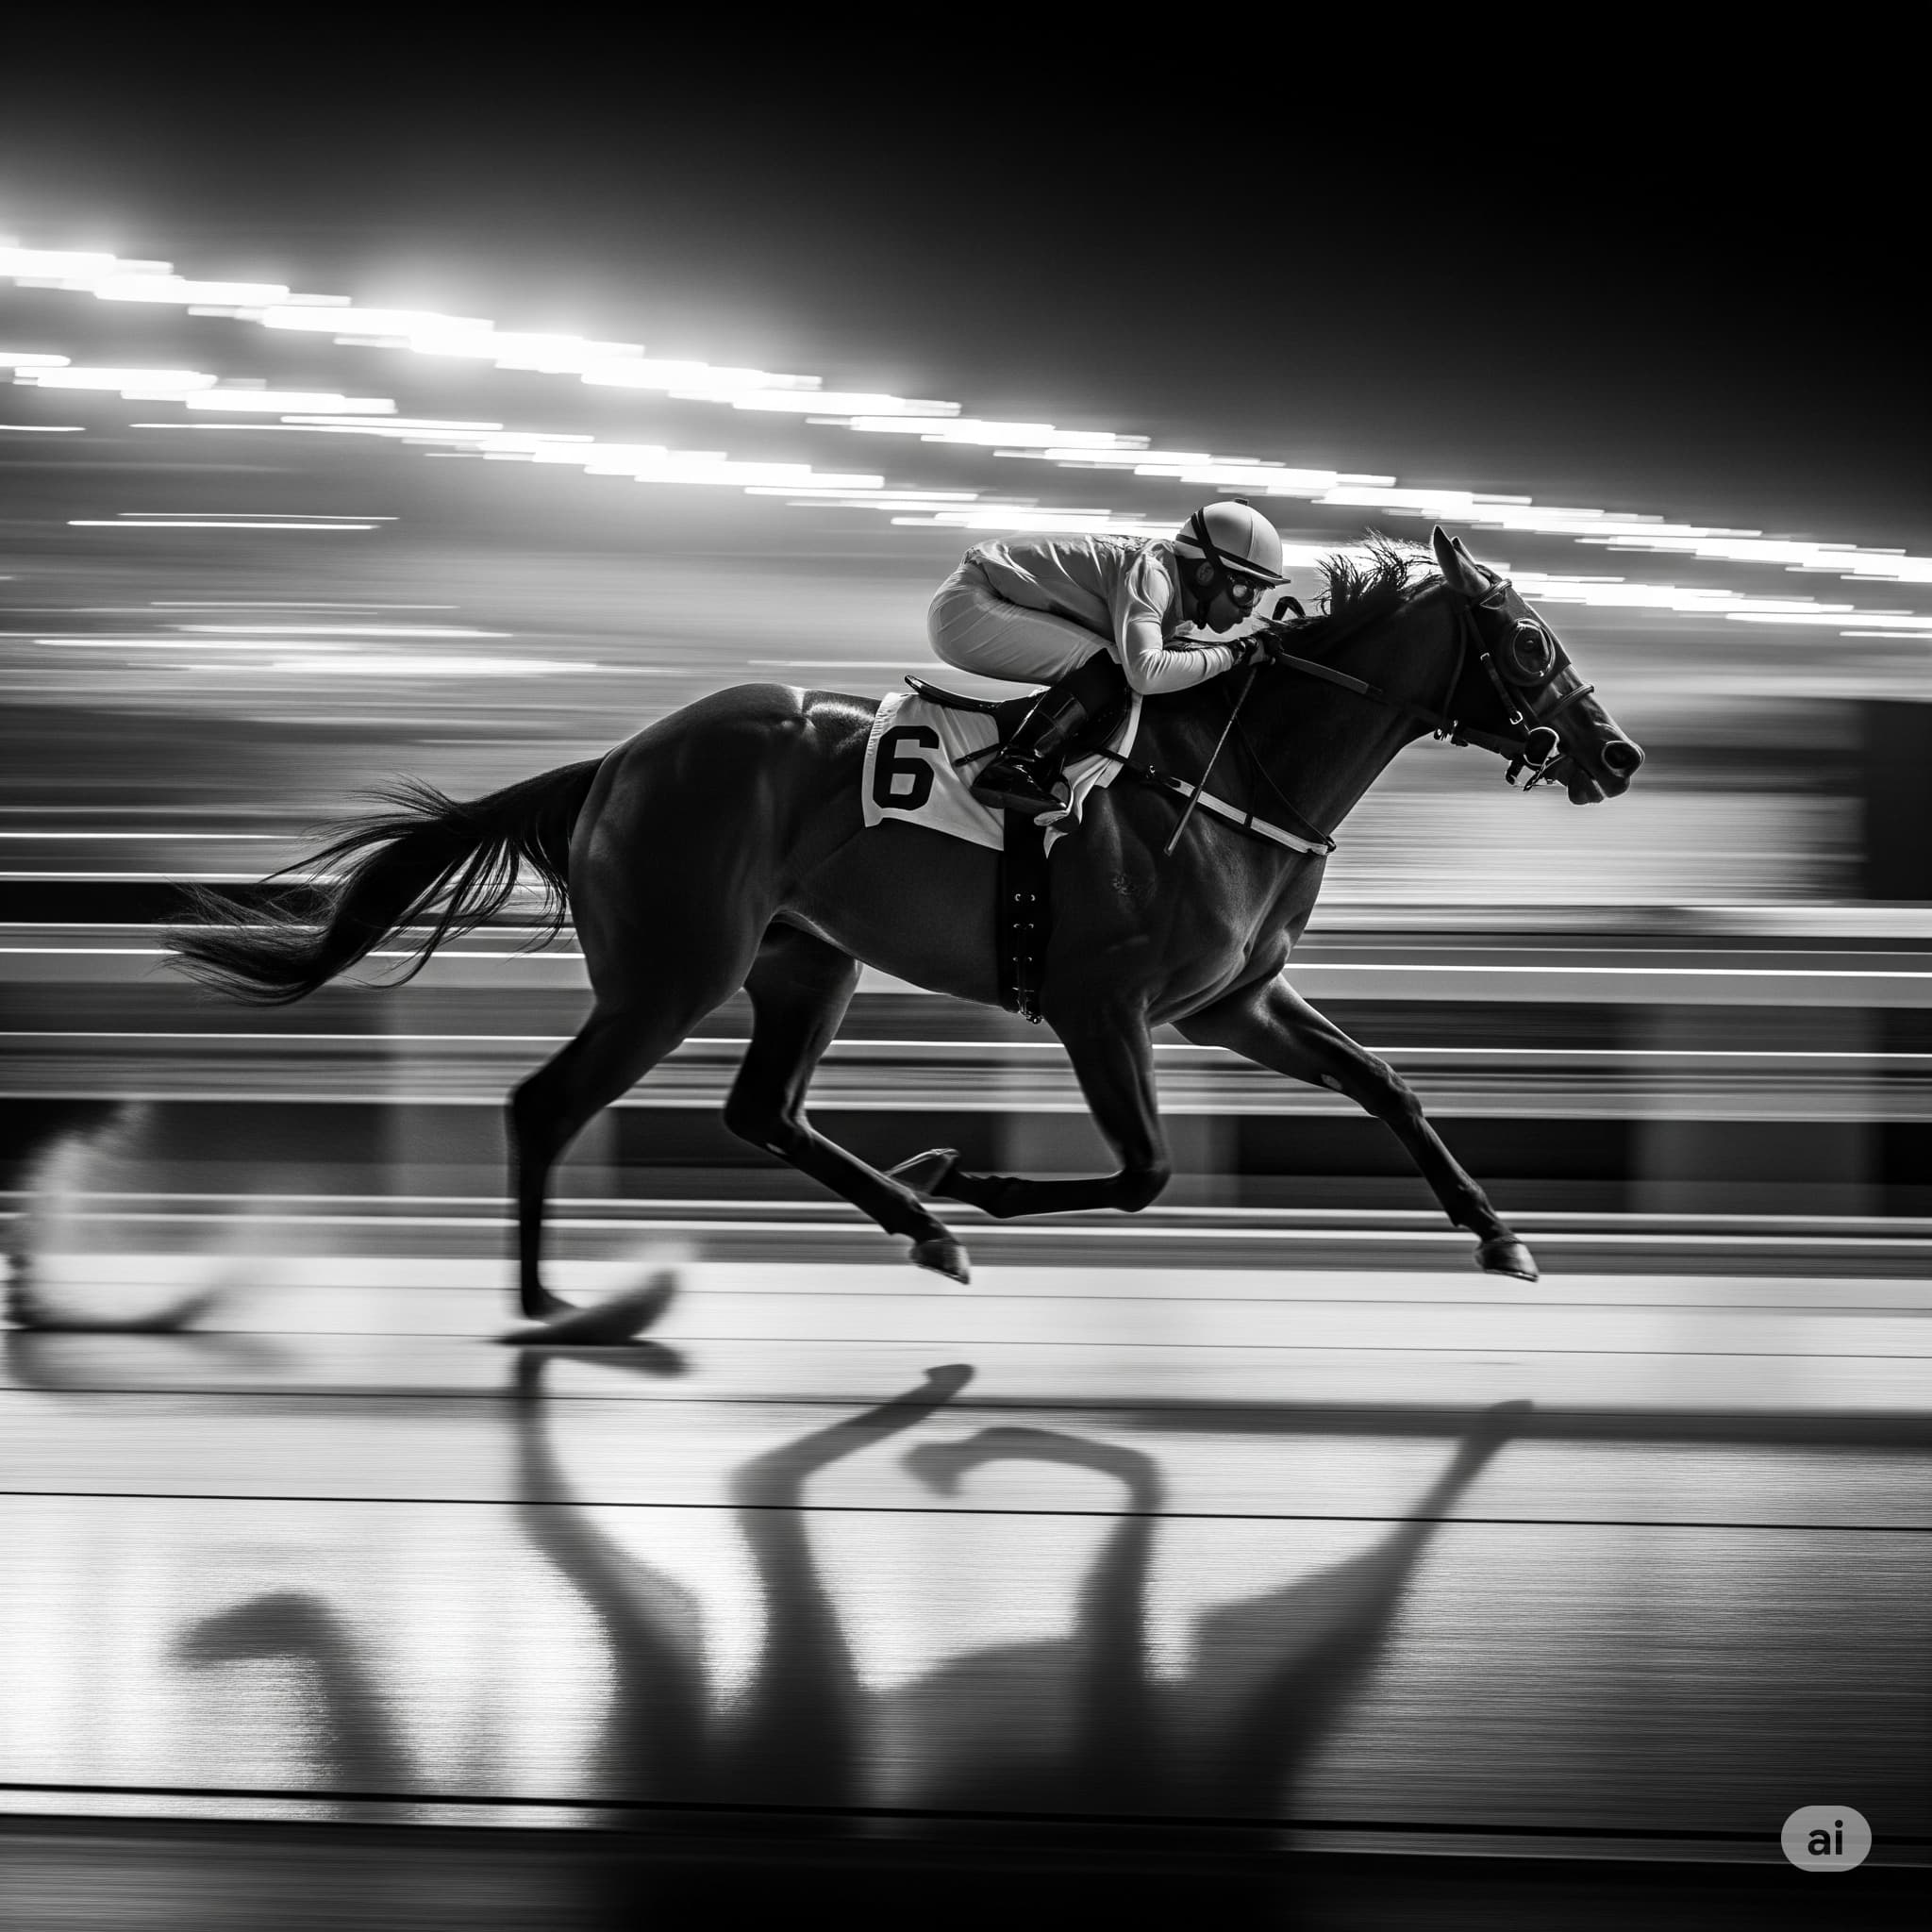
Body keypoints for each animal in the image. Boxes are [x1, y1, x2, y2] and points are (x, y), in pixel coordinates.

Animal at [168, 525, 1644, 1342]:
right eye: (1523, 639)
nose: (1617, 753)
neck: (1238, 770)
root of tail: (622, 757)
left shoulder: (1233, 1001)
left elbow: (1388, 1086)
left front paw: (1502, 1238)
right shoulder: (1103, 1006)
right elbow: (1146, 1171)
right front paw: (981, 1178)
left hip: (804, 957)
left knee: (763, 1110)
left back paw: (916, 1214)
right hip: (670, 969)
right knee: (547, 1104)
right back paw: (551, 1307)